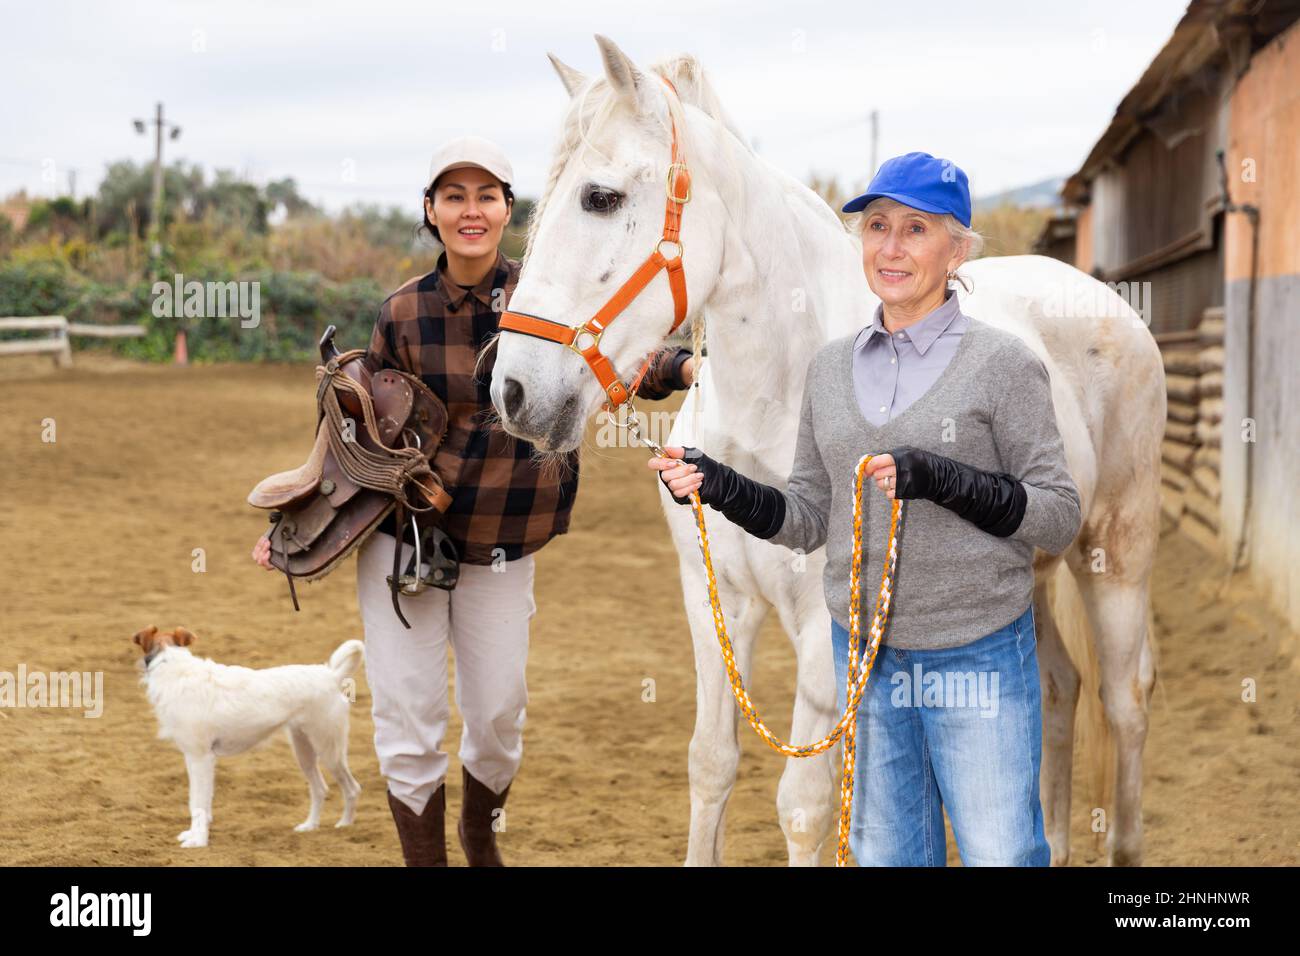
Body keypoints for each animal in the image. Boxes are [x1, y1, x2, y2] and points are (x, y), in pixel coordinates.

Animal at [134, 624, 366, 848]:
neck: (170, 663)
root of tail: (331, 676)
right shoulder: (193, 758)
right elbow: (197, 802)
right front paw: (194, 834)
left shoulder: (201, 758)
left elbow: (198, 803)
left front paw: (198, 841)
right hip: (304, 751)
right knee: (320, 789)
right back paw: (310, 826)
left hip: (329, 751)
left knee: (352, 788)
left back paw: (344, 825)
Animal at [491, 35, 1164, 868]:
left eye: (601, 197)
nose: (514, 391)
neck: (773, 401)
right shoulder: (713, 599)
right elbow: (710, 764)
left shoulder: (824, 629)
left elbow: (806, 806)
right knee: (1058, 689)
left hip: (1116, 556)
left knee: (1124, 700)